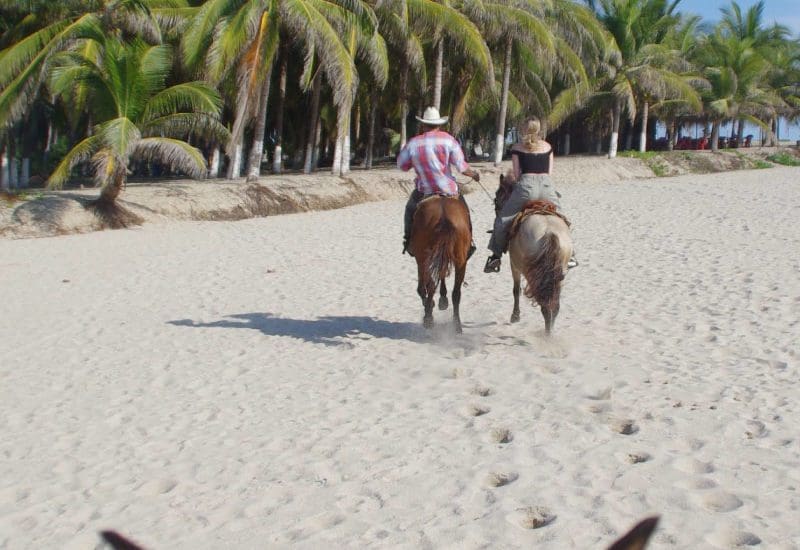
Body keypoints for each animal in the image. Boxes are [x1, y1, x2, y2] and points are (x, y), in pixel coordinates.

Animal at [410, 198, 472, 336]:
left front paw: (432, 303)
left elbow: (422, 288)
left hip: (424, 258)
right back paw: (457, 325)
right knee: (456, 293)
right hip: (460, 260)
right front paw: (442, 299)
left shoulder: (421, 260)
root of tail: (444, 217)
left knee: (429, 286)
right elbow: (442, 274)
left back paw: (428, 318)